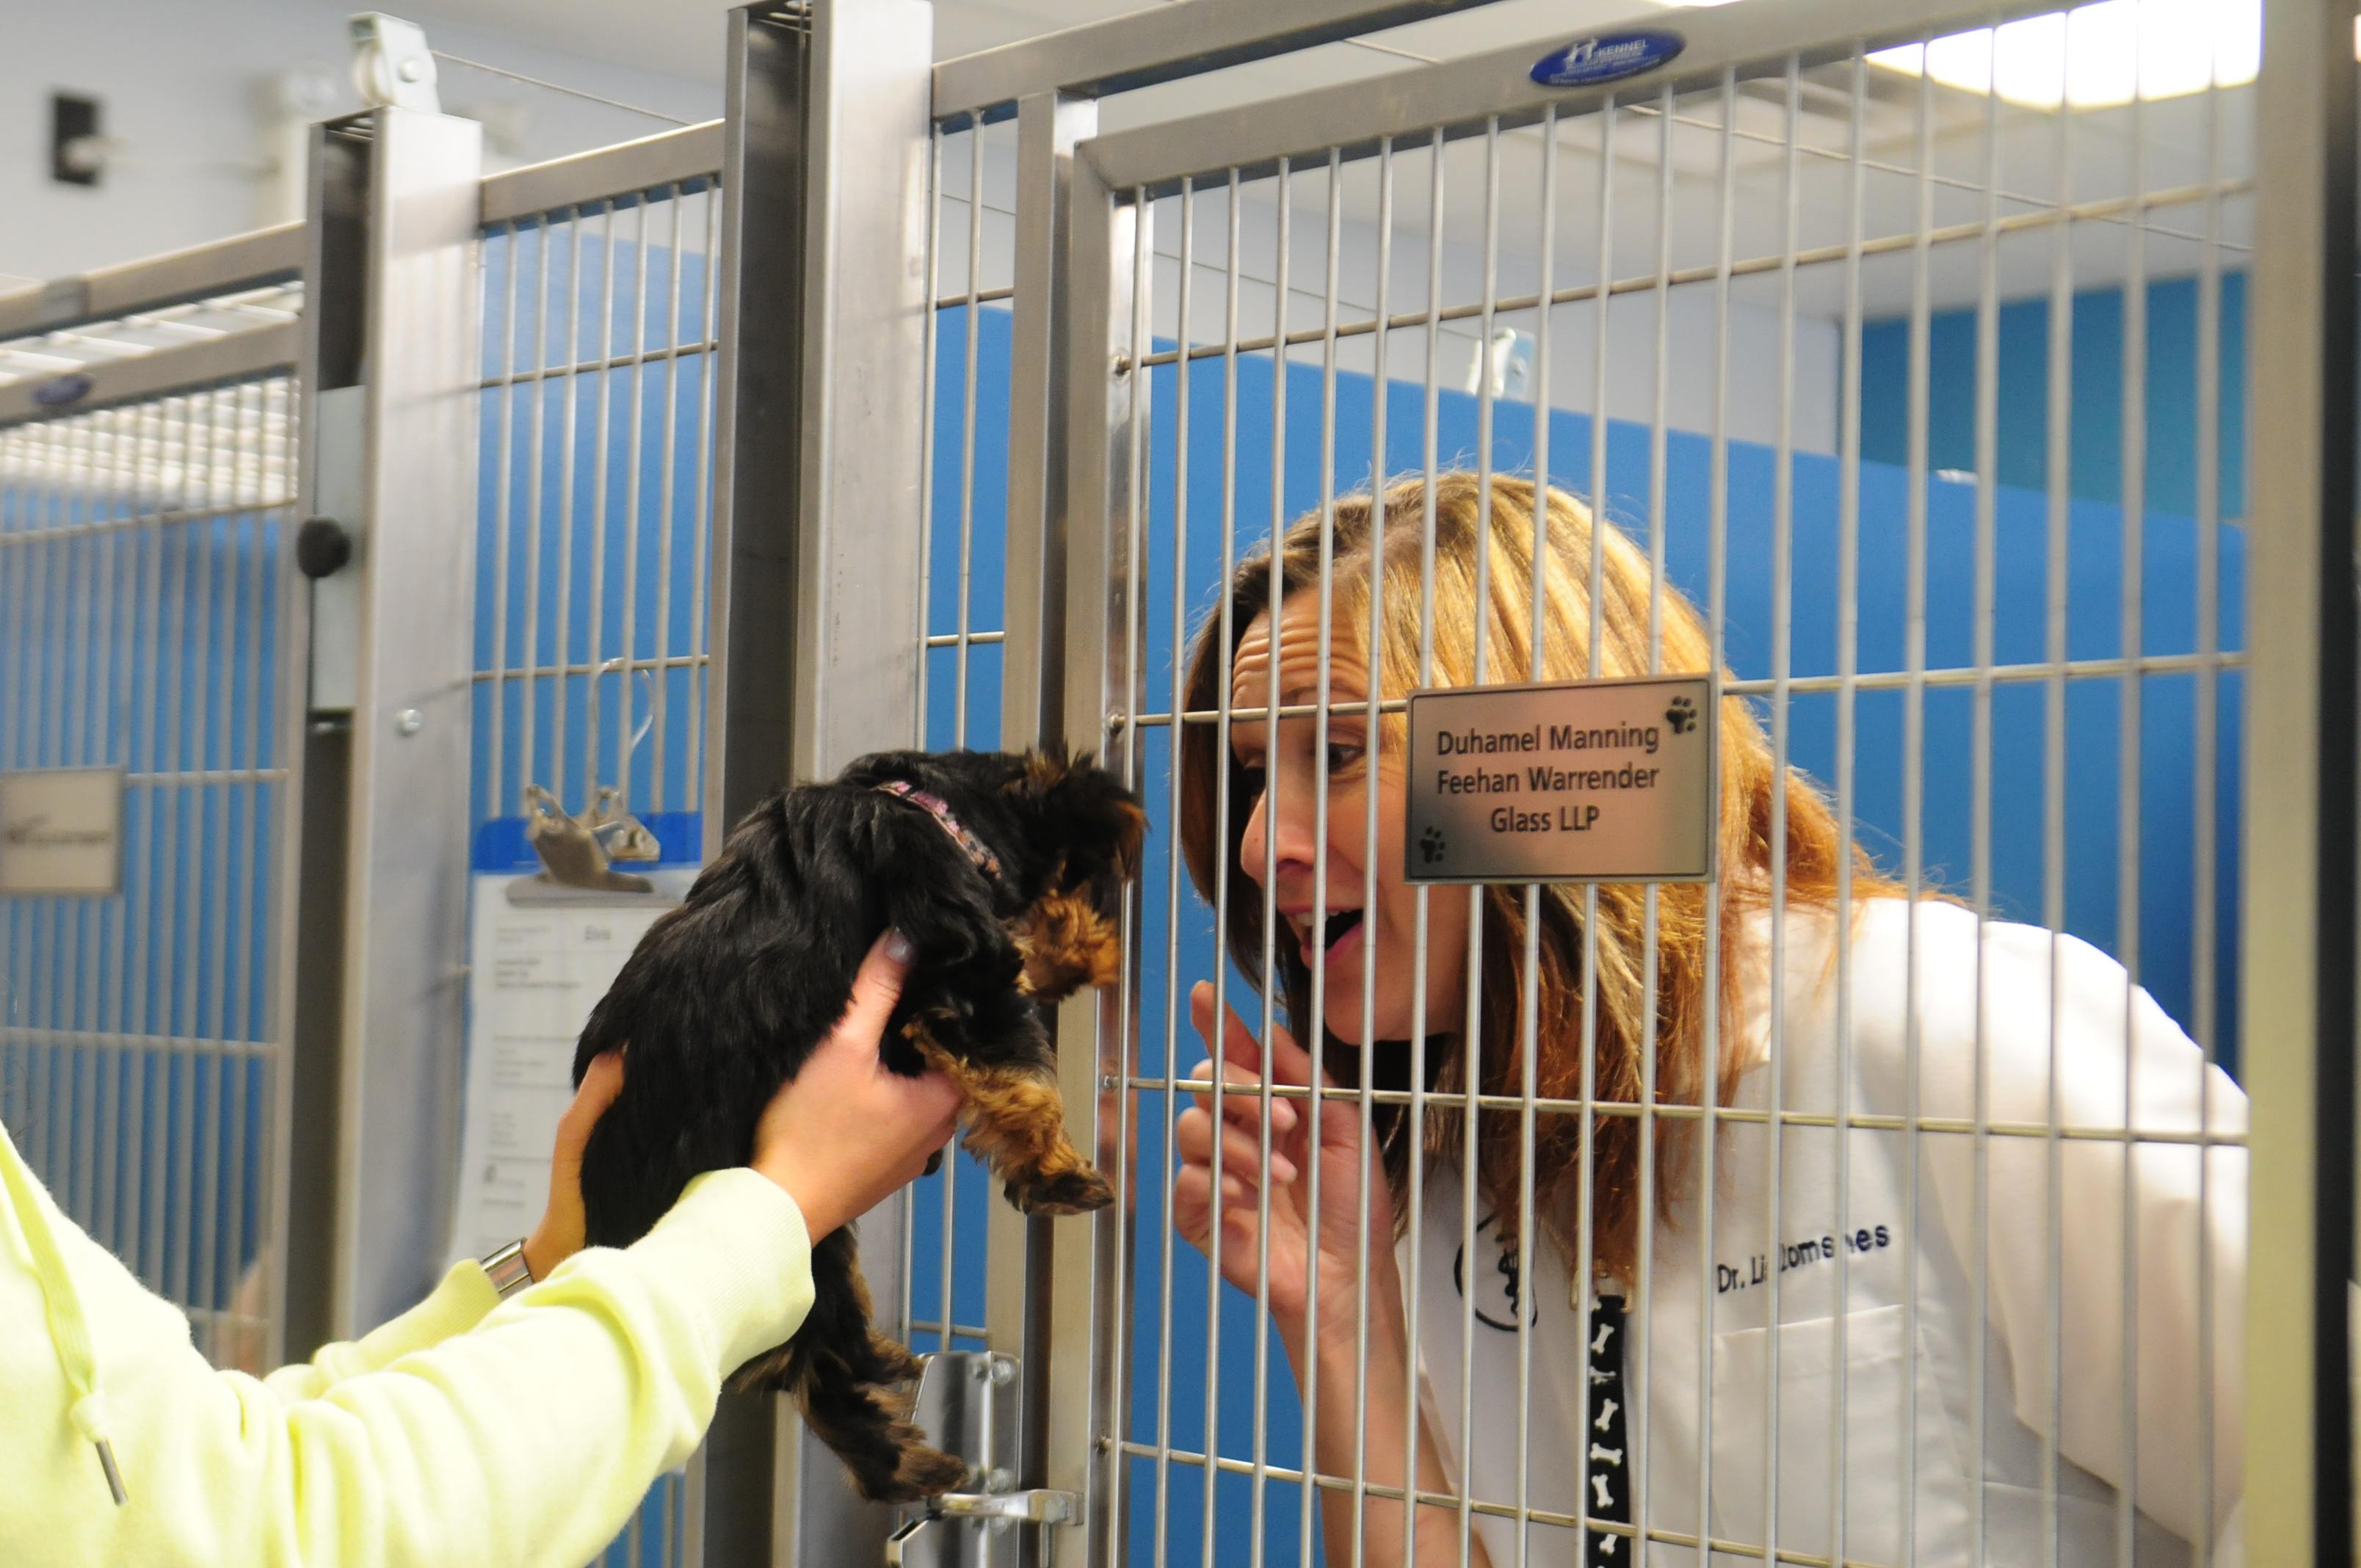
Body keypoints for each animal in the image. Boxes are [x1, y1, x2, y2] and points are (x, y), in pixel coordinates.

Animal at [562, 755, 1133, 1501]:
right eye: (1080, 885)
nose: (1110, 950)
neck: (936, 809)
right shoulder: (957, 969)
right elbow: (1022, 1068)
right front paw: (1057, 1174)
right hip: (800, 1248)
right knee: (821, 1371)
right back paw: (908, 1452)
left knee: (826, 1373)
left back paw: (907, 1431)